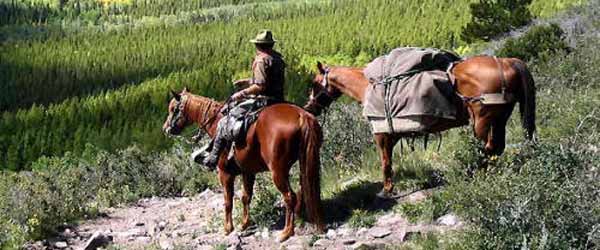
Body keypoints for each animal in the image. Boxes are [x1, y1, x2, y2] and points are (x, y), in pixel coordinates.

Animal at [163, 89, 324, 241]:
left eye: (173, 109)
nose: (166, 129)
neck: (215, 121)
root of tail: (302, 116)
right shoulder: (248, 171)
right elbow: (246, 197)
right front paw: (244, 224)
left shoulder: (225, 173)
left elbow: (228, 201)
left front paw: (228, 228)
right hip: (303, 164)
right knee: (304, 190)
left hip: (277, 171)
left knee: (290, 196)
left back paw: (286, 232)